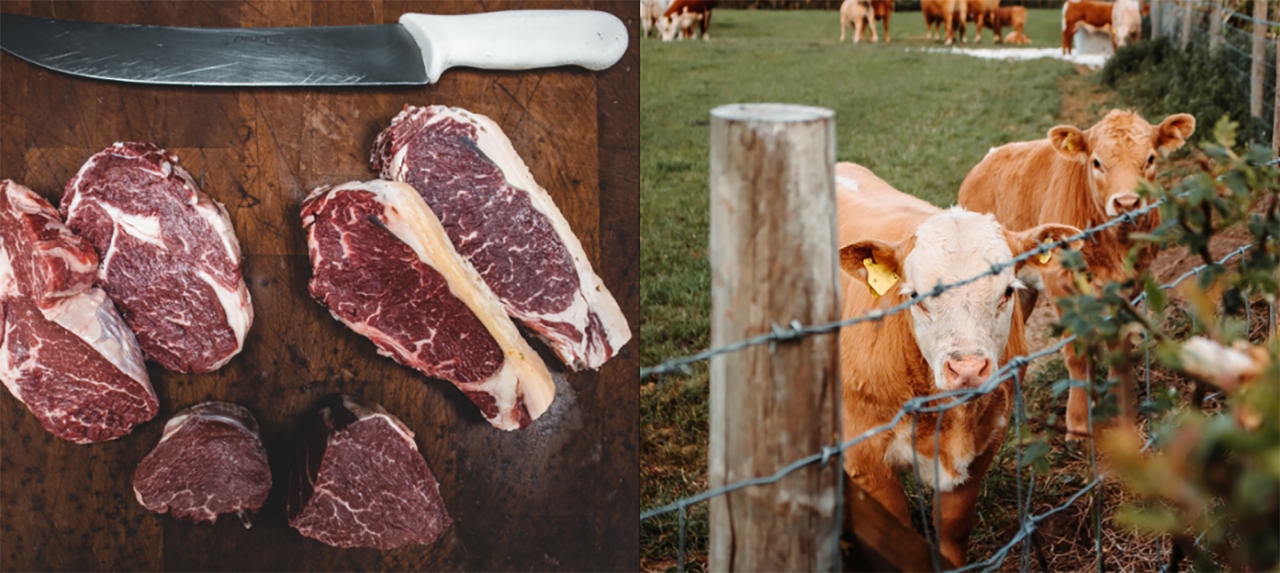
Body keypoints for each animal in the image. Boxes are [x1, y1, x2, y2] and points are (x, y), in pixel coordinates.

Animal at [834, 161, 1075, 567]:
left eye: (1007, 291)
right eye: (915, 297)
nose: (967, 369)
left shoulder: (987, 437)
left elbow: (954, 525)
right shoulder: (866, 459)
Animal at [962, 110, 1198, 439]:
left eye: (1150, 159)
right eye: (1097, 162)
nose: (1127, 203)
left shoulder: (1131, 286)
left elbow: (1118, 348)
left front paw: (1119, 412)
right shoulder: (1062, 287)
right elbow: (1077, 354)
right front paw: (1078, 424)